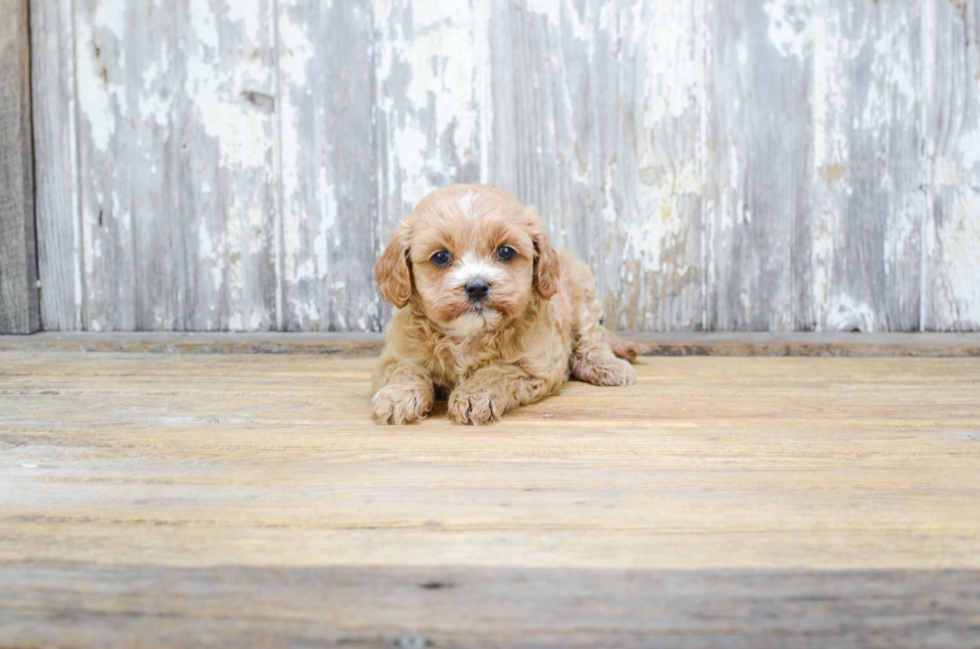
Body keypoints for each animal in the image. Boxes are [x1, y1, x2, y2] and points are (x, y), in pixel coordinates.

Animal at [372, 184, 648, 426]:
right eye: (440, 256)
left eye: (505, 252)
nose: (477, 286)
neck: (468, 335)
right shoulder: (397, 354)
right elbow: (403, 370)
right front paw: (398, 397)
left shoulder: (536, 367)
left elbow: (497, 372)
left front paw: (475, 397)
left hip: (583, 293)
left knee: (591, 341)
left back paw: (609, 366)